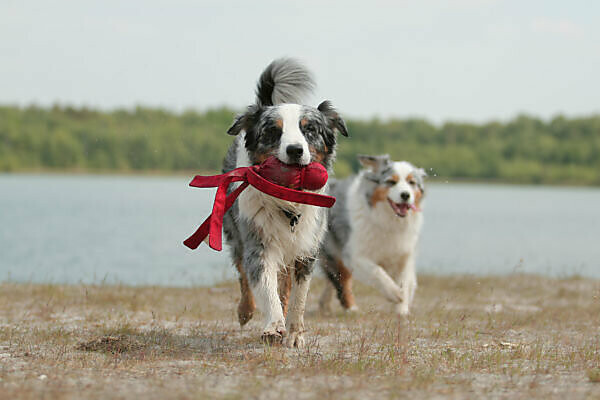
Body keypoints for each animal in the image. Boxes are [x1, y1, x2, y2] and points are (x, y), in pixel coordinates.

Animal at [223, 57, 350, 346]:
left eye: (309, 129)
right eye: (273, 131)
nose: (294, 150)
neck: (288, 201)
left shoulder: (307, 248)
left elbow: (299, 297)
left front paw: (293, 333)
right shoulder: (258, 241)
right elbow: (264, 285)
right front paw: (273, 327)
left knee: (285, 284)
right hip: (234, 231)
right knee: (243, 274)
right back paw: (245, 311)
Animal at [318, 155, 426, 318]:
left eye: (412, 182)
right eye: (391, 182)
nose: (405, 195)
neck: (389, 221)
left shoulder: (403, 255)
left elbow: (405, 281)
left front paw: (402, 309)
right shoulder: (355, 255)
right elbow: (377, 272)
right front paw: (395, 294)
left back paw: (325, 306)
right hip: (334, 252)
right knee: (342, 281)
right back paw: (351, 308)